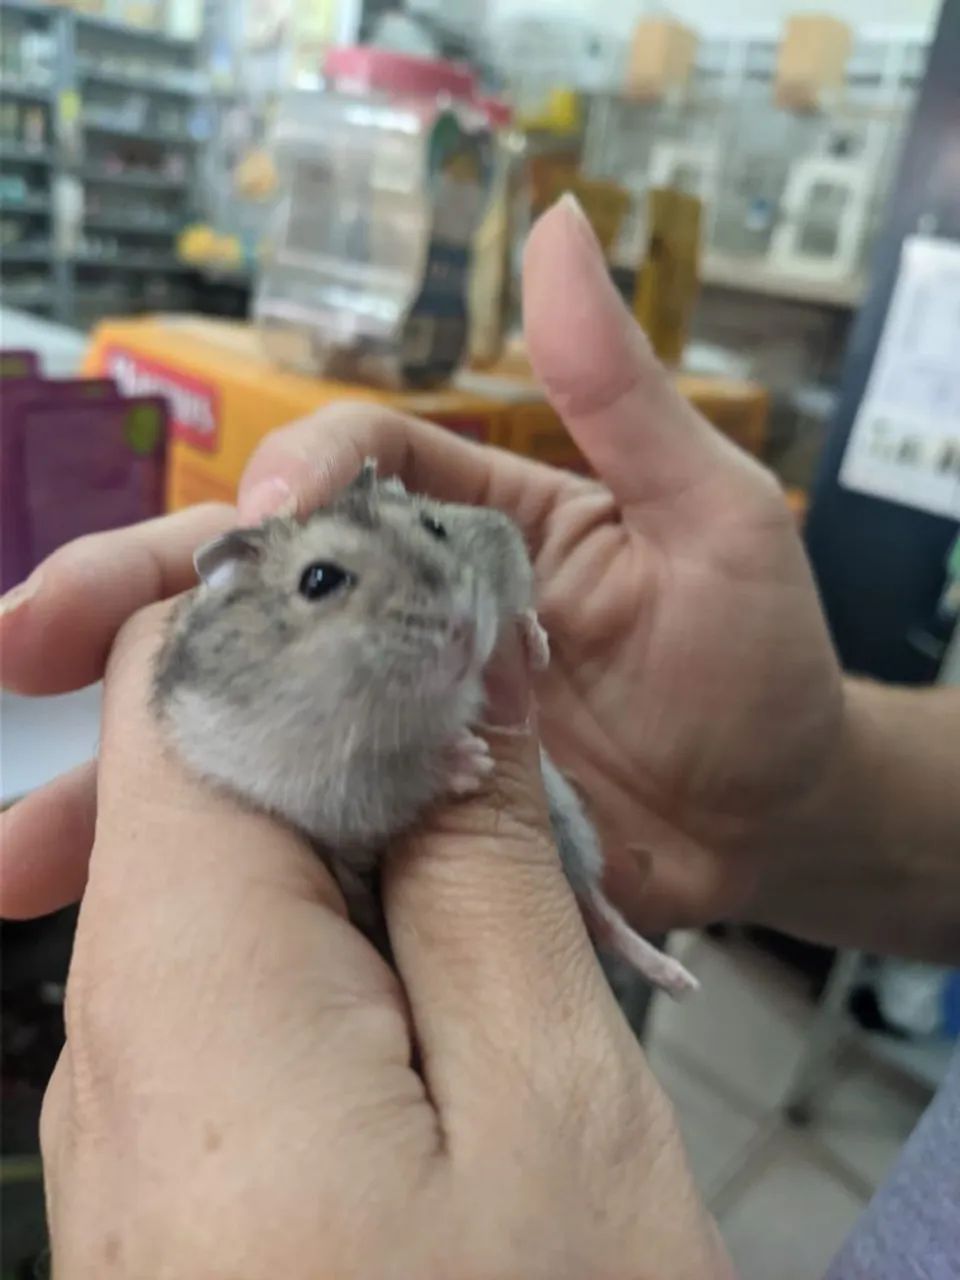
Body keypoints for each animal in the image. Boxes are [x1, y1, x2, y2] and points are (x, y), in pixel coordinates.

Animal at [153, 459, 697, 1000]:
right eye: (319, 579)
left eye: (434, 526)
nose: (467, 630)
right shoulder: (310, 784)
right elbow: (390, 776)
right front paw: (470, 758)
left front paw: (533, 640)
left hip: (569, 822)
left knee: (598, 909)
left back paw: (678, 978)